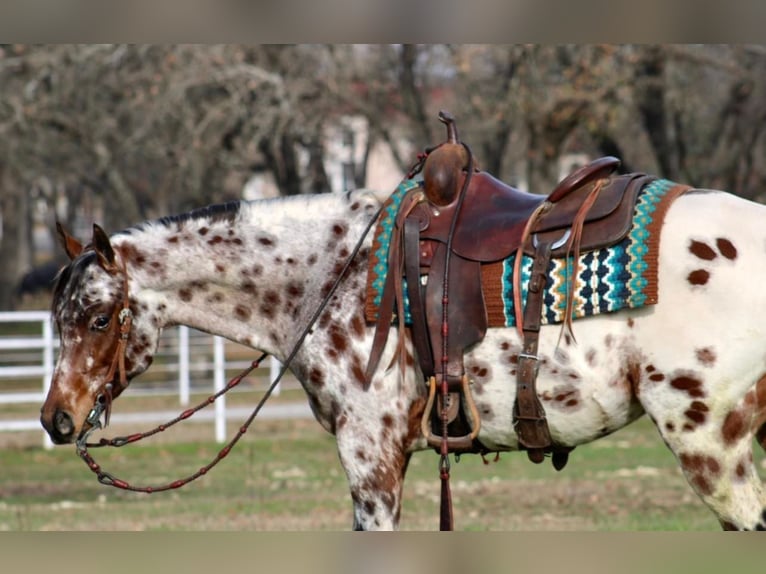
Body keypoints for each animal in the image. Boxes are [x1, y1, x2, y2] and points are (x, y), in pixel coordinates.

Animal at [40, 165, 766, 532]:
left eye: (99, 317)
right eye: (58, 317)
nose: (56, 420)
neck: (333, 272)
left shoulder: (371, 456)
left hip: (710, 443)